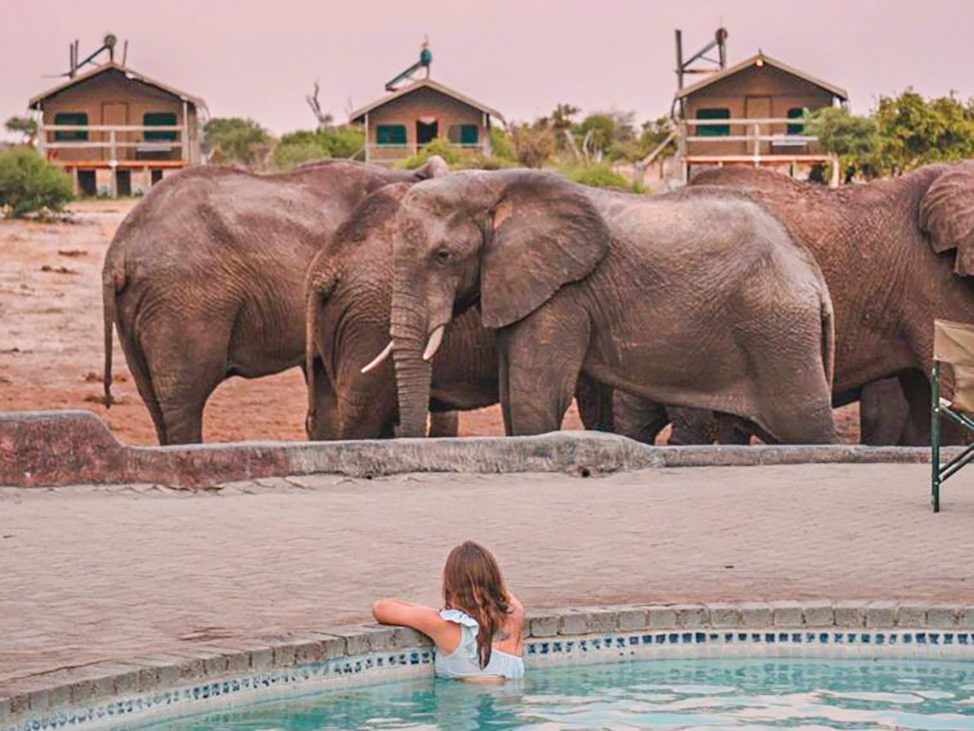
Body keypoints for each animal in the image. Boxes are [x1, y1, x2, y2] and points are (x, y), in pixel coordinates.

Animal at [380, 169, 838, 443]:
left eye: (443, 256)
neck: (495, 184)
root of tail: (814, 278)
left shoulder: (564, 293)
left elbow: (534, 398)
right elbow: (513, 396)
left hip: (778, 329)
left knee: (806, 424)